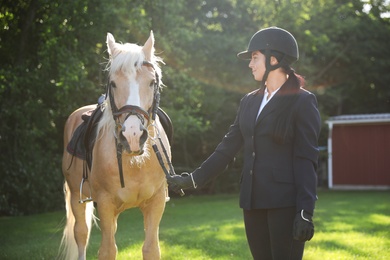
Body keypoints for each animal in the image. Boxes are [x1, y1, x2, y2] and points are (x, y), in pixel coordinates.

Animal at [58, 31, 171, 258]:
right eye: (113, 84)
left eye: (151, 82)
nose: (133, 135)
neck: (136, 163)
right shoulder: (105, 203)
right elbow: (108, 251)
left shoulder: (156, 203)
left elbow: (151, 249)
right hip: (76, 196)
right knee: (81, 233)